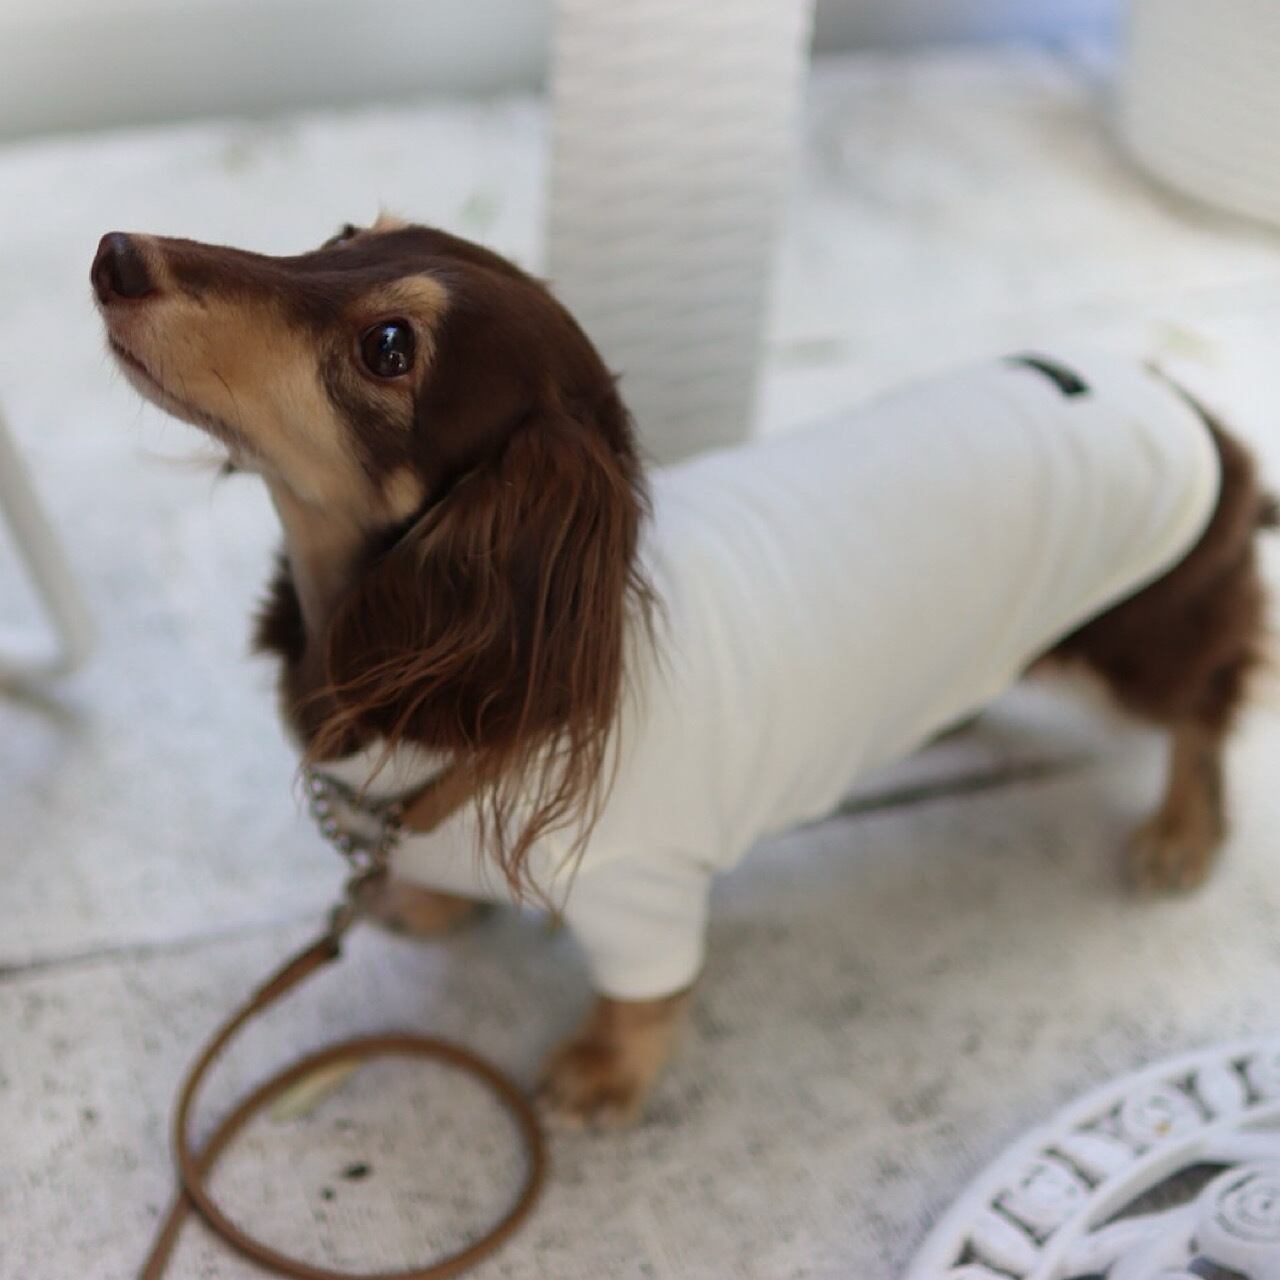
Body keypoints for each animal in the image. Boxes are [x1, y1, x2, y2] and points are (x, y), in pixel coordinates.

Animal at [94, 216, 1274, 1127]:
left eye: (390, 345)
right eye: (342, 237)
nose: (114, 254)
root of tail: (1194, 412)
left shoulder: (643, 895)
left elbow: (642, 996)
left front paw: (603, 1072)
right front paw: (429, 901)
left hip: (1138, 634)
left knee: (1207, 699)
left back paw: (1181, 831)